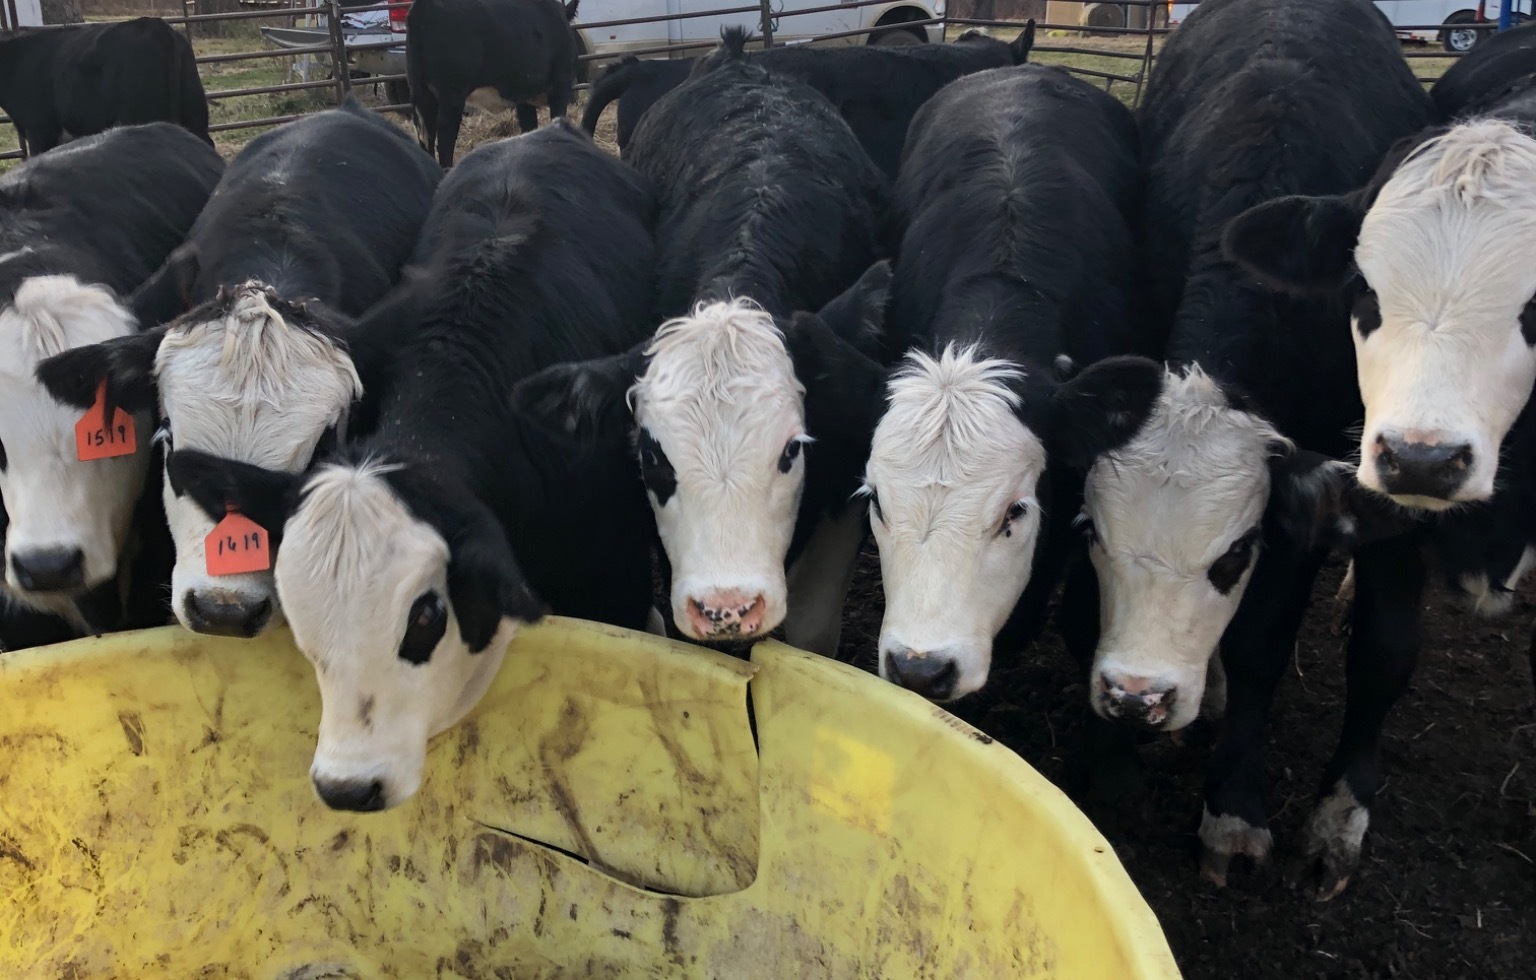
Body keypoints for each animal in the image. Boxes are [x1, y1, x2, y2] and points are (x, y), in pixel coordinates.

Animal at [406, 0, 580, 168]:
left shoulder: (523, 98)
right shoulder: (561, 86)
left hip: (423, 94)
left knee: (427, 135)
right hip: (452, 94)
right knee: (445, 134)